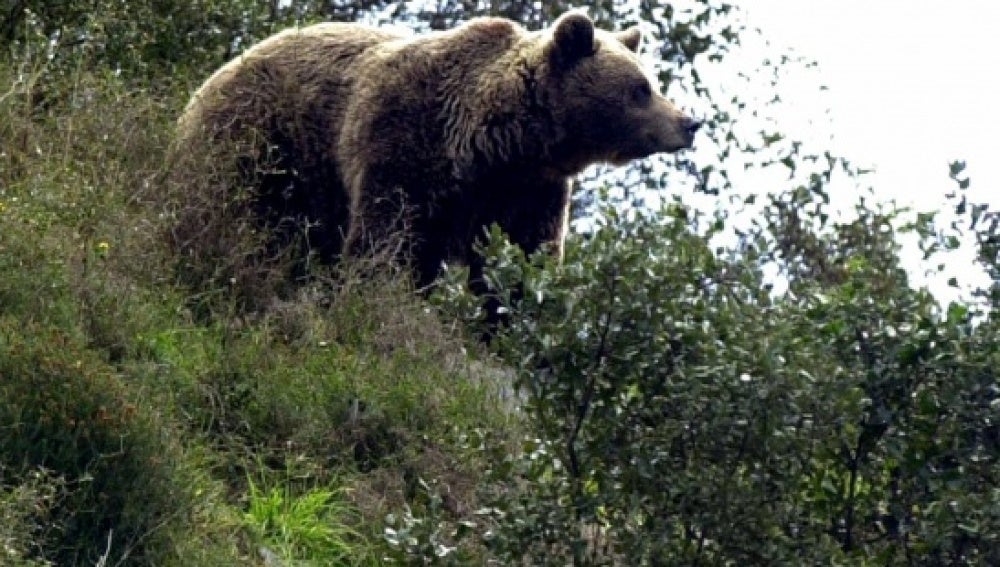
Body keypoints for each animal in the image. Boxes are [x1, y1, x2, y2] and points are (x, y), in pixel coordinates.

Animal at [175, 10, 700, 292]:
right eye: (641, 89)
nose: (689, 123)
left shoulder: (529, 191)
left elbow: (525, 258)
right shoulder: (404, 141)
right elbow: (385, 238)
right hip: (262, 142)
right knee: (234, 207)